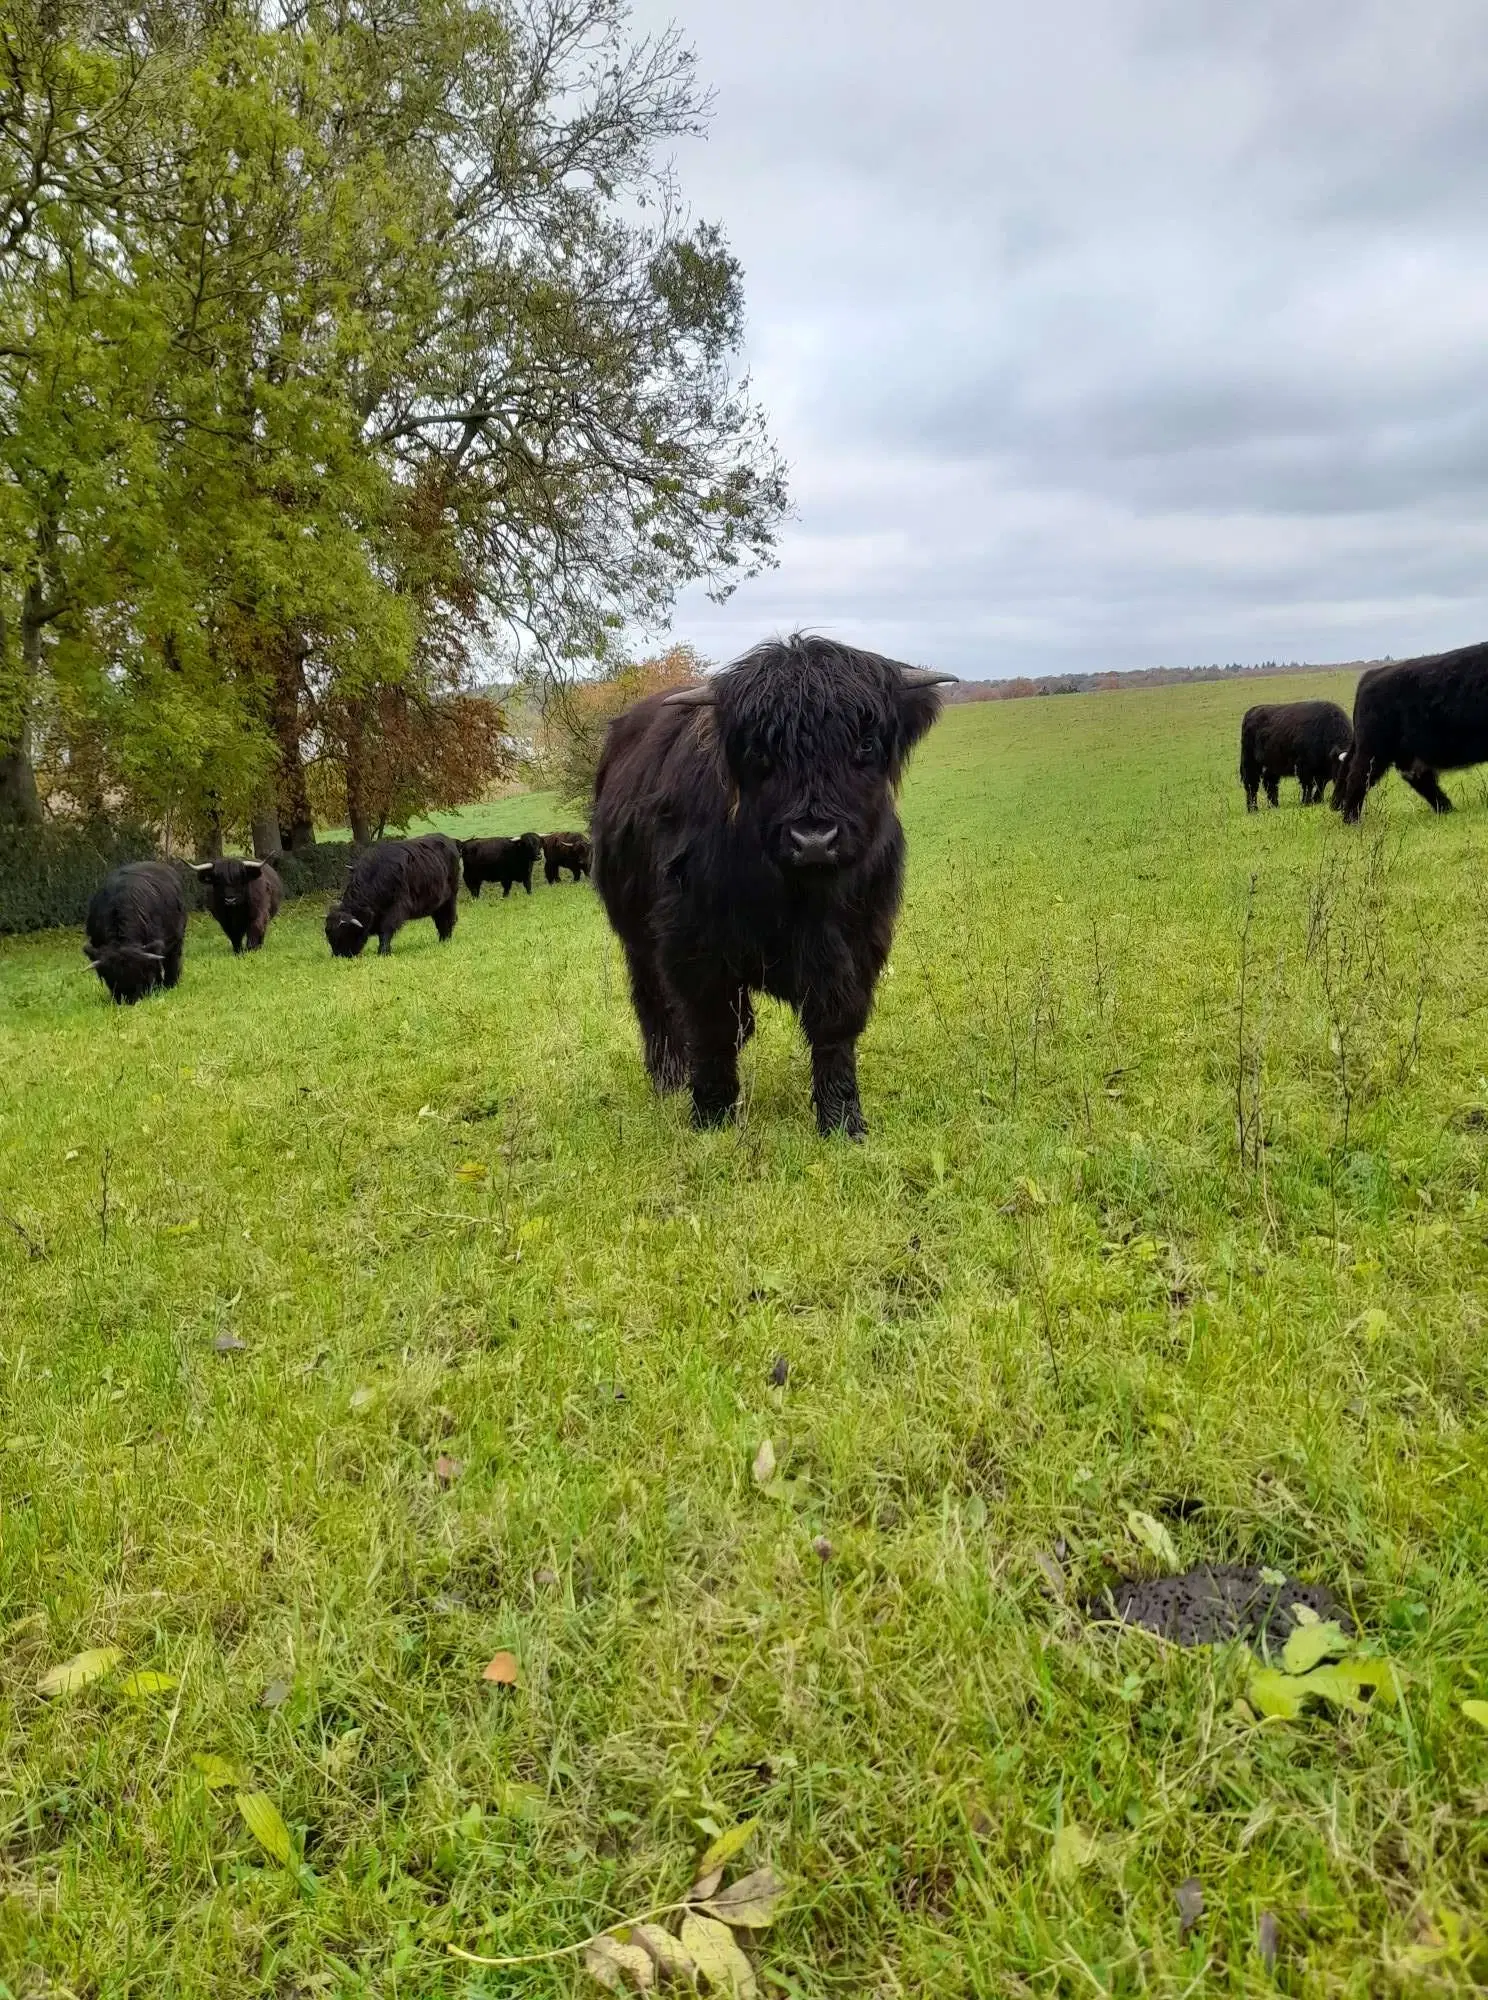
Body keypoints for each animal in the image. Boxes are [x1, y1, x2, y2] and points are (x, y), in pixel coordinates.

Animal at [326, 828, 460, 952]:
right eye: (330, 937)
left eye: (343, 934)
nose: (339, 955)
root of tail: (449, 840)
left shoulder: (396, 908)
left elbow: (386, 930)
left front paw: (383, 951)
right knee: (440, 920)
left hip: (450, 898)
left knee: (448, 918)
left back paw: (446, 940)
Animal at [588, 632, 952, 1136]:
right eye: (760, 751)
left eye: (865, 743)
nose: (814, 840)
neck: (794, 896)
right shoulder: (693, 946)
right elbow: (712, 1028)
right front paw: (712, 1117)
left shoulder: (857, 943)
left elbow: (835, 1026)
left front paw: (843, 1121)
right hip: (636, 939)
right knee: (654, 1005)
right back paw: (668, 1079)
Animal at [1328, 644, 1488, 824]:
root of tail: (1372, 674)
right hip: (1374, 749)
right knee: (1358, 777)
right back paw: (1352, 820)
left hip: (1402, 753)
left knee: (1417, 777)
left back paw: (1447, 808)